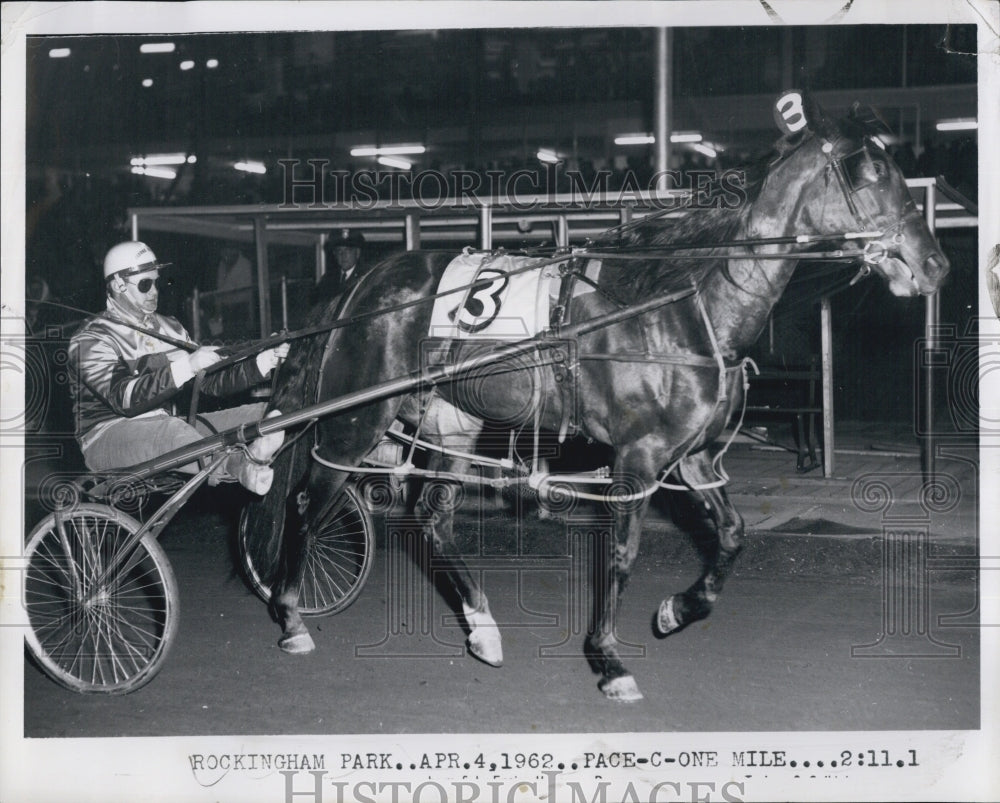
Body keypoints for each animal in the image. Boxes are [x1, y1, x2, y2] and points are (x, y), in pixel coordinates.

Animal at [242, 96, 944, 704]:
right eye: (869, 171)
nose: (935, 264)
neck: (678, 306)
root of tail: (361, 284)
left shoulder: (696, 458)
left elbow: (732, 535)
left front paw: (676, 610)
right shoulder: (638, 458)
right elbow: (622, 554)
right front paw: (609, 660)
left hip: (453, 423)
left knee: (433, 521)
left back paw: (482, 627)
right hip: (357, 420)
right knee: (309, 501)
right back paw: (291, 615)